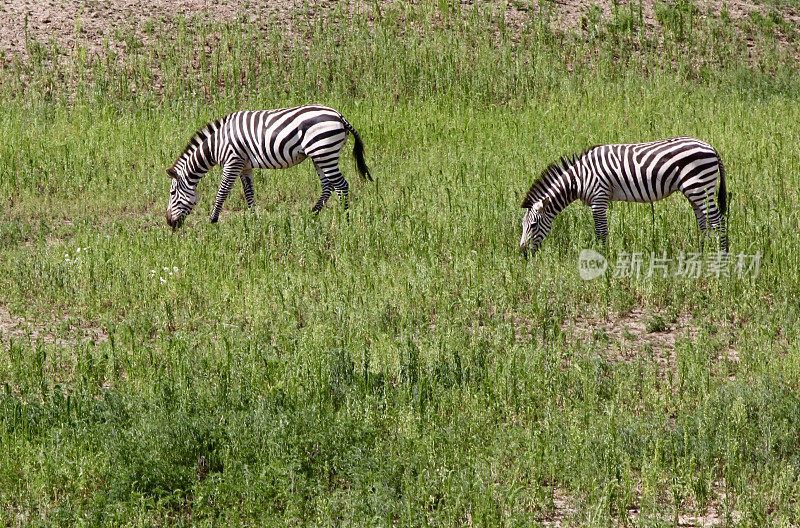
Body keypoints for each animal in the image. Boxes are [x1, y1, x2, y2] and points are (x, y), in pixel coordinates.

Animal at [167, 105, 374, 227]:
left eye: (172, 193)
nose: (169, 223)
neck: (216, 145)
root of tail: (339, 116)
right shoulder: (244, 166)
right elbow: (249, 192)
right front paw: (253, 218)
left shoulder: (232, 161)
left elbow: (223, 191)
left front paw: (213, 219)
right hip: (320, 155)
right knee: (328, 186)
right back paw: (312, 215)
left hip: (324, 151)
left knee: (341, 185)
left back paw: (346, 220)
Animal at [520, 137, 728, 256]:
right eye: (522, 225)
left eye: (533, 225)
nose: (523, 253)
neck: (578, 179)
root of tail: (711, 147)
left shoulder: (599, 198)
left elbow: (601, 232)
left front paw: (602, 258)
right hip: (694, 191)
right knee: (704, 223)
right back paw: (702, 254)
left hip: (700, 186)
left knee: (718, 221)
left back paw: (722, 256)